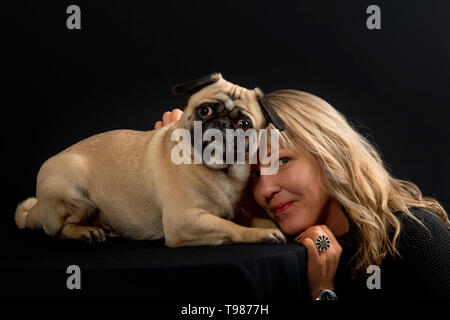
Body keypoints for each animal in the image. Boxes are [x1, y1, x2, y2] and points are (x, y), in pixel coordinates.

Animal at [16, 73, 288, 248]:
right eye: (205, 110)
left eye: (244, 124)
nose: (221, 123)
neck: (221, 172)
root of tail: (36, 209)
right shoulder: (183, 221)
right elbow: (230, 227)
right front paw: (260, 234)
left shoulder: (235, 210)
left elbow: (254, 218)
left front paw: (269, 225)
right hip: (74, 191)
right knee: (58, 230)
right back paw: (85, 232)